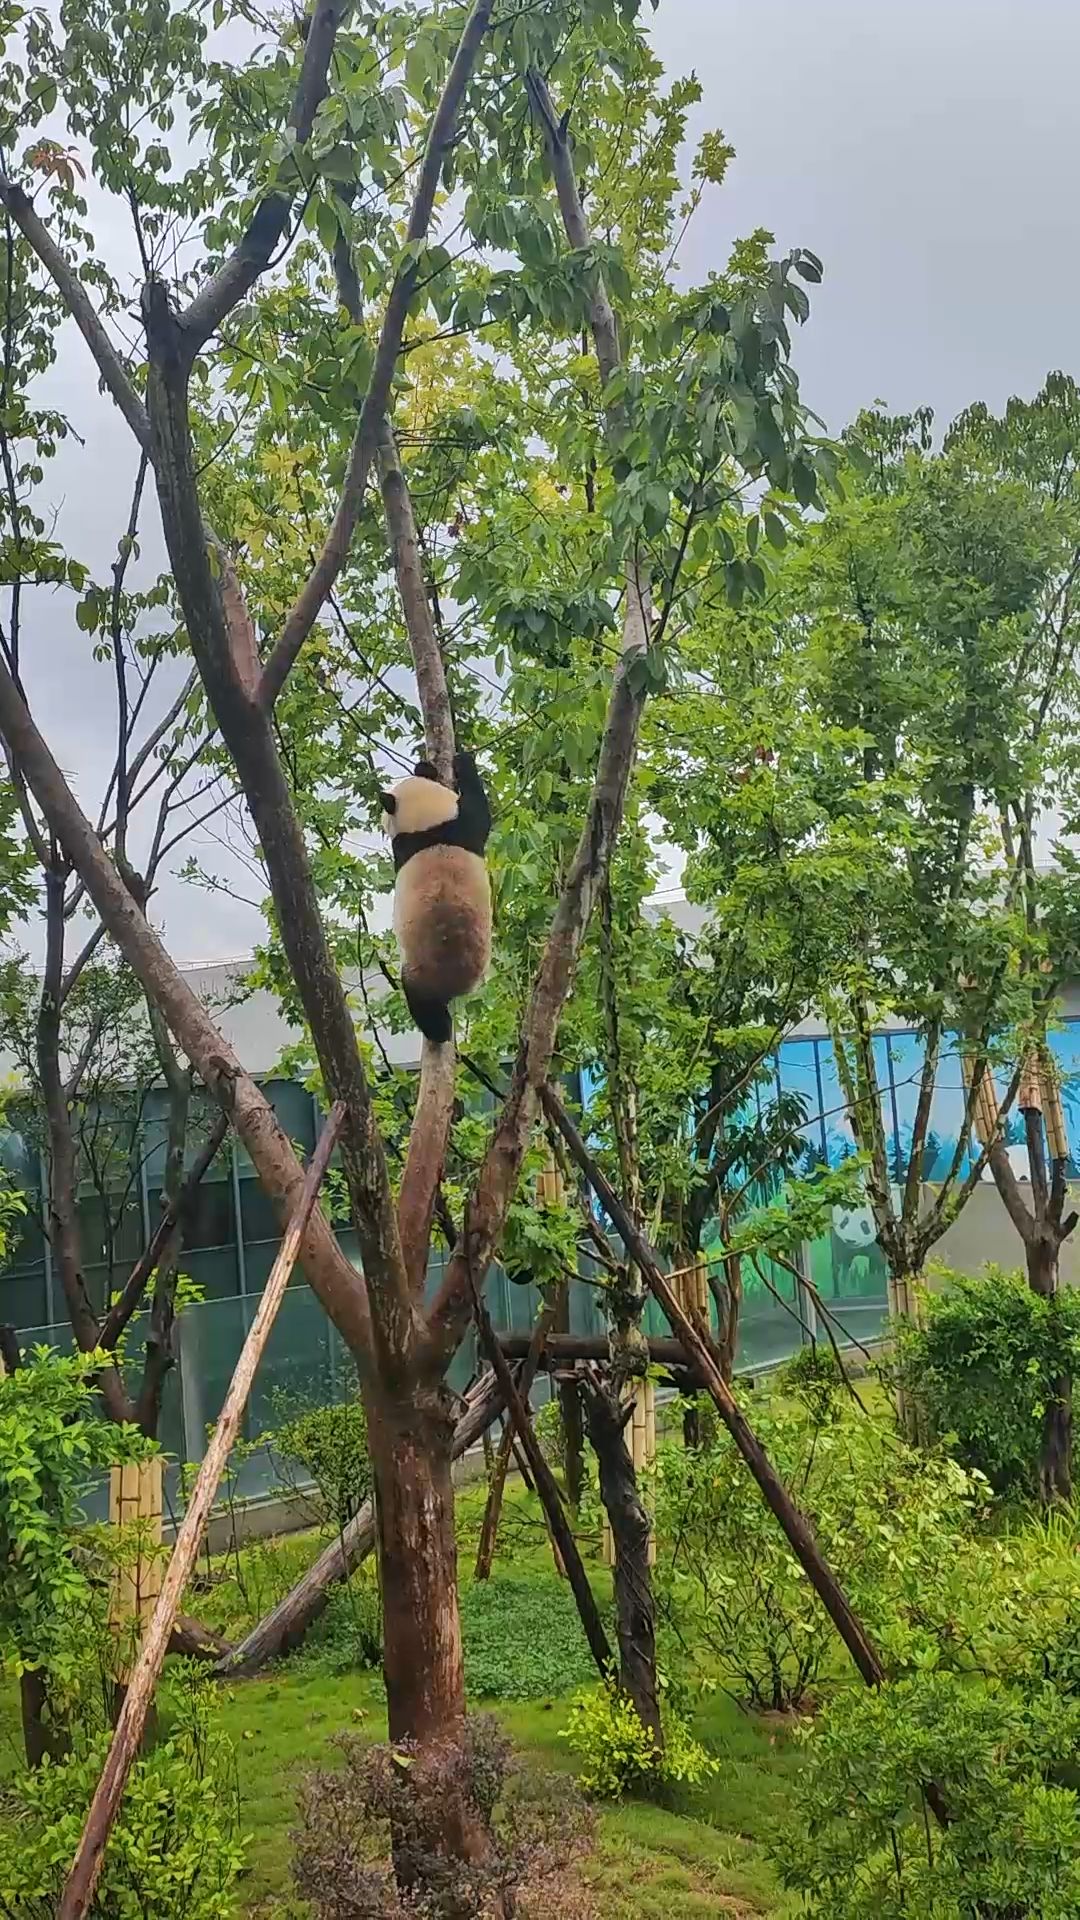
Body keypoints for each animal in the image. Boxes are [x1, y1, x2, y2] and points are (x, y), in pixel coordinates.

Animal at [380, 750, 492, 1045]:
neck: (429, 828)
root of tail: (455, 986)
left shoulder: (457, 825)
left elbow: (481, 812)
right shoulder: (459, 825)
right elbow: (482, 814)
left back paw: (438, 1030)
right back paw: (440, 1030)